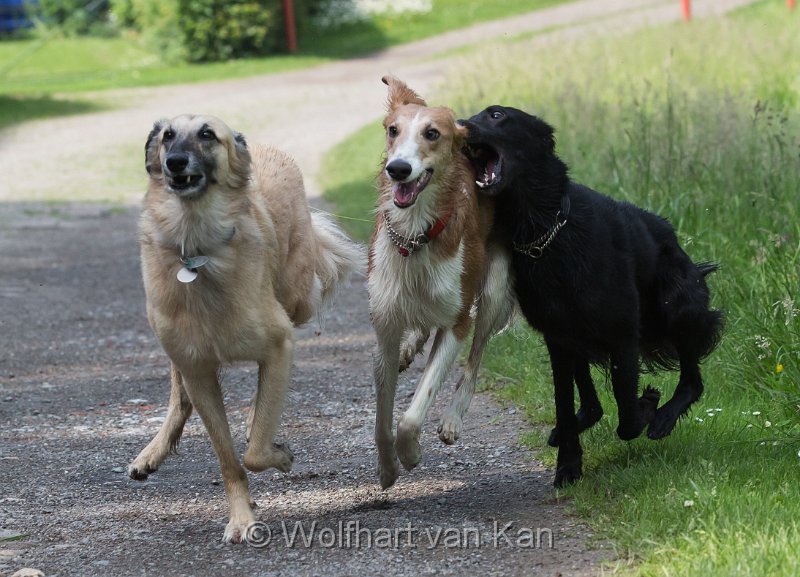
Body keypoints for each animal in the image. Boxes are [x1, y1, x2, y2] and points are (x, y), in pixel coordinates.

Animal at [129, 115, 366, 544]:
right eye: (168, 135)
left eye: (207, 134)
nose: (175, 162)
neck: (197, 250)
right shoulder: (197, 370)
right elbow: (229, 458)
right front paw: (242, 518)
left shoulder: (279, 342)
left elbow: (254, 451)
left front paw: (278, 455)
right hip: (174, 343)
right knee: (180, 394)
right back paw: (152, 453)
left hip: (297, 297)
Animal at [368, 76, 512, 488]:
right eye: (393, 130)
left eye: (432, 133)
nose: (398, 169)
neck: (415, 239)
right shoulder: (384, 327)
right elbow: (382, 422)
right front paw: (387, 469)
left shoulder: (456, 322)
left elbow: (412, 413)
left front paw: (410, 454)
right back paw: (411, 346)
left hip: (493, 290)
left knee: (475, 359)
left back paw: (452, 418)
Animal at [460, 107, 720, 486]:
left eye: (496, 114)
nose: (458, 126)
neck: (545, 231)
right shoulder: (556, 338)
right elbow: (565, 405)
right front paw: (568, 465)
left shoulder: (623, 335)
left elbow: (627, 417)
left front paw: (647, 406)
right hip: (576, 336)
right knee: (592, 404)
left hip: (679, 306)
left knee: (693, 381)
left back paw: (663, 417)